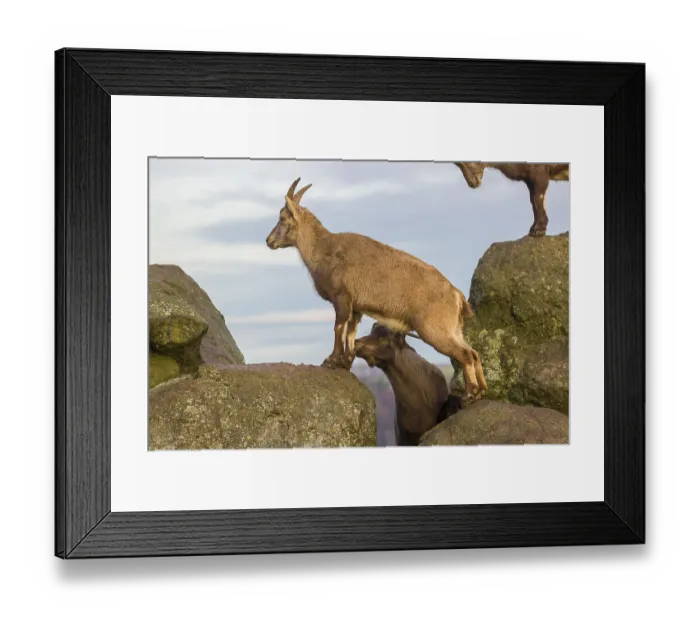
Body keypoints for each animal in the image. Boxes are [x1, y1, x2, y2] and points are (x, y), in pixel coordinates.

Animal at [265, 178, 488, 402]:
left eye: (282, 218)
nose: (268, 241)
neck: (323, 249)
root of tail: (456, 295)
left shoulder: (342, 297)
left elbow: (338, 328)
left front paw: (331, 361)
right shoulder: (356, 307)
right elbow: (351, 332)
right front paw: (345, 363)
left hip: (434, 329)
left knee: (466, 355)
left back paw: (470, 393)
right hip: (453, 330)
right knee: (474, 353)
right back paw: (481, 391)